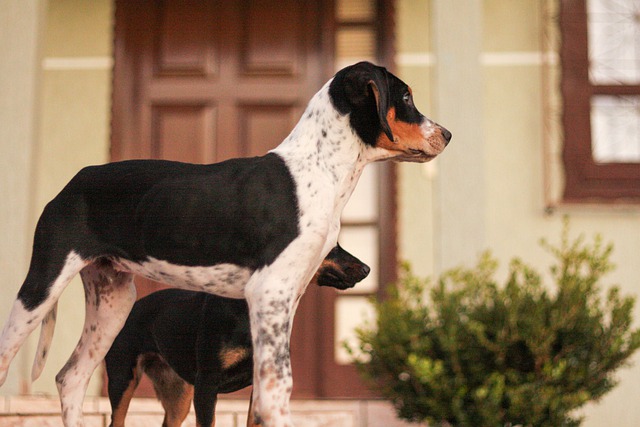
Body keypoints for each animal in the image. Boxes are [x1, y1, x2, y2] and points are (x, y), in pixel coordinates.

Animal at [0, 61, 450, 426]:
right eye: (405, 96)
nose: (447, 135)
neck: (317, 169)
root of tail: (70, 184)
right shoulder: (269, 294)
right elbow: (277, 393)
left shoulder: (280, 305)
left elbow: (265, 398)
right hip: (42, 285)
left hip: (113, 303)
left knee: (70, 378)